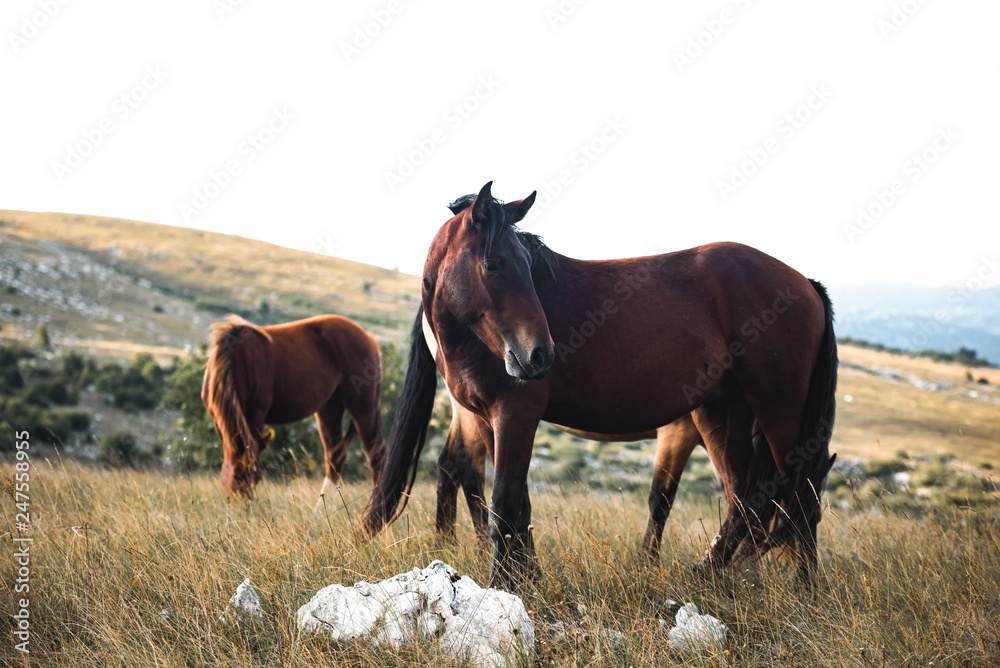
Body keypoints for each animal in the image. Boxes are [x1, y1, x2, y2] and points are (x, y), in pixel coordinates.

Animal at [201, 315, 387, 501]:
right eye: (237, 476)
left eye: (257, 476)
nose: (245, 505)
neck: (237, 360)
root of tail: (370, 339)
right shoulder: (218, 420)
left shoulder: (255, 416)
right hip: (330, 408)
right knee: (335, 456)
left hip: (362, 406)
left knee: (376, 455)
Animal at [364, 182, 837, 589]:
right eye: (493, 265)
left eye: (528, 268)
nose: (540, 355)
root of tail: (806, 283)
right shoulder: (488, 418)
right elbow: (516, 503)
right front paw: (526, 580)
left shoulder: (514, 416)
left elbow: (506, 502)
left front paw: (505, 583)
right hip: (722, 413)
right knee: (747, 496)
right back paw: (707, 576)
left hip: (776, 413)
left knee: (799, 491)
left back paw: (802, 586)